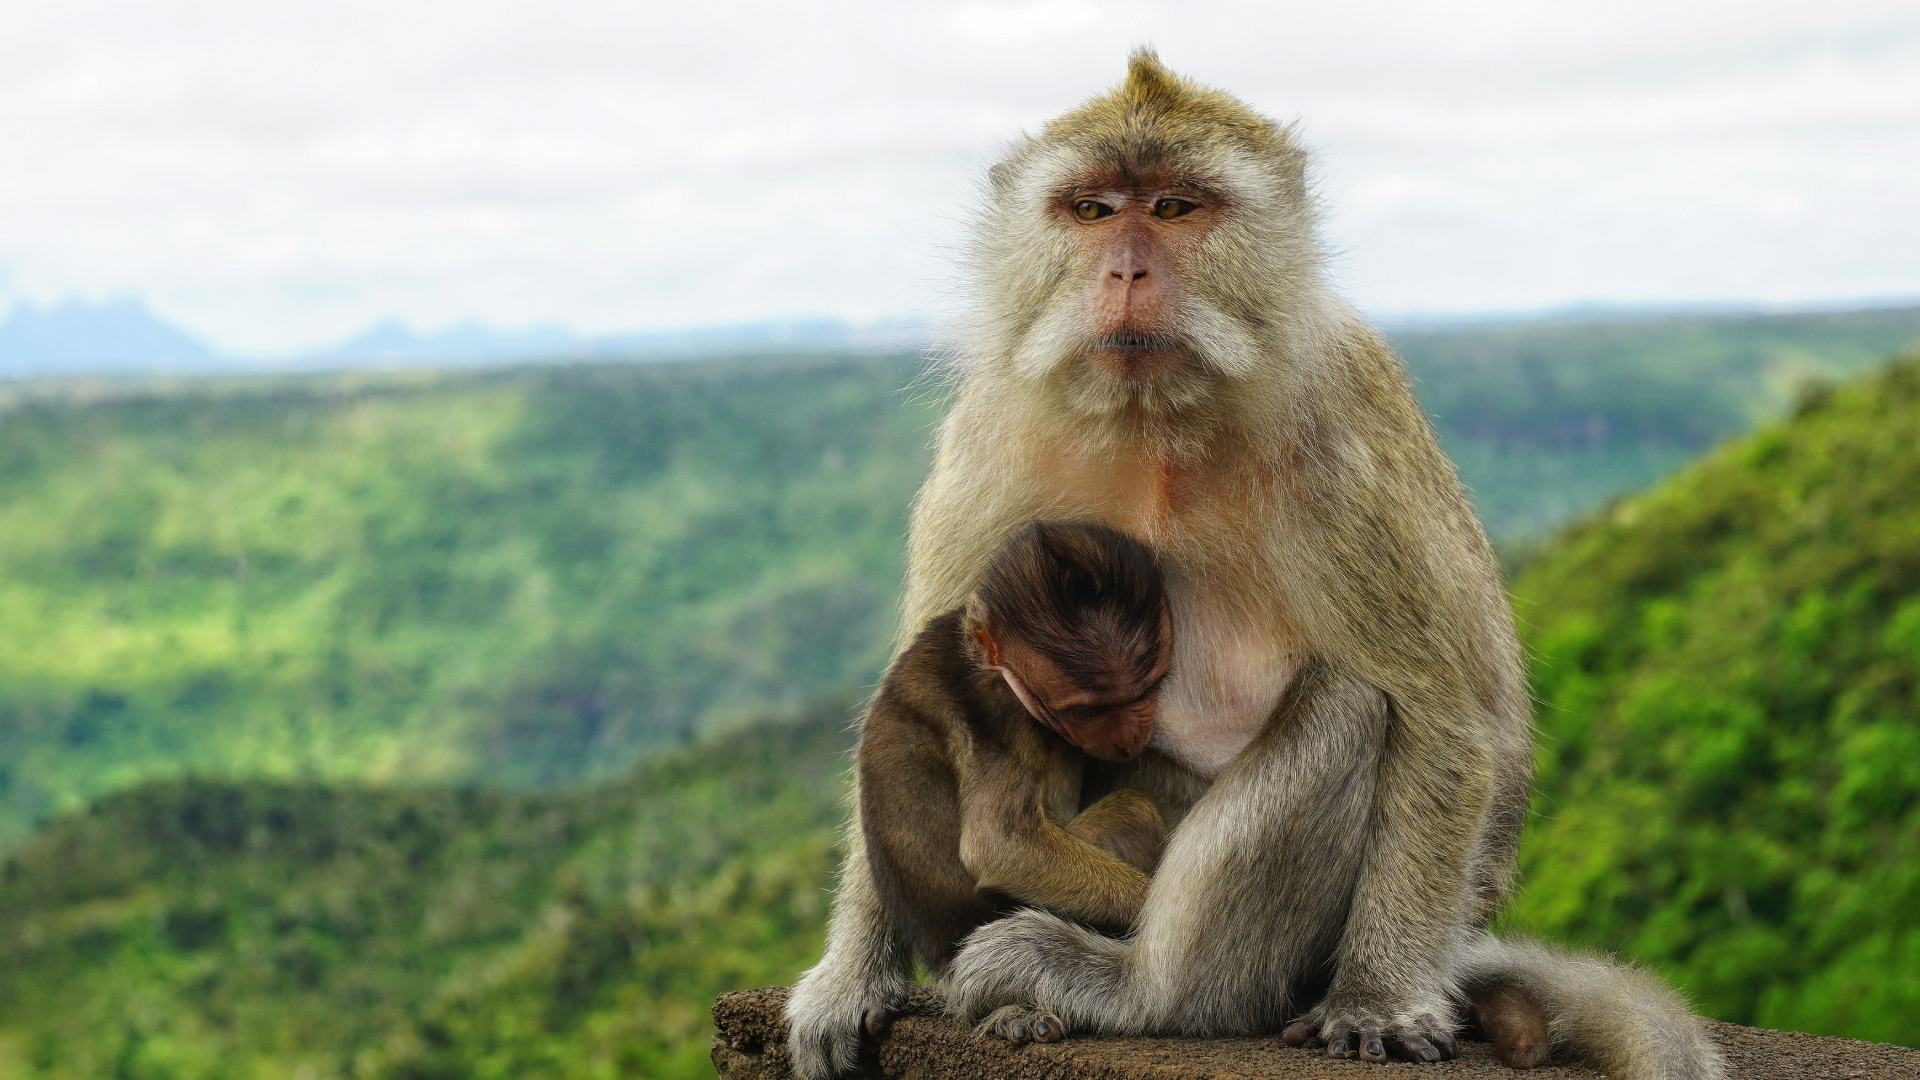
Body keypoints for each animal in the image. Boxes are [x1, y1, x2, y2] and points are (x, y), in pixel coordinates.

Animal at [855, 521, 1172, 1037]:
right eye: (1089, 710)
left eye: (1145, 691)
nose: (1130, 741)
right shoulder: (1004, 716)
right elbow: (998, 843)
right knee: (1132, 811)